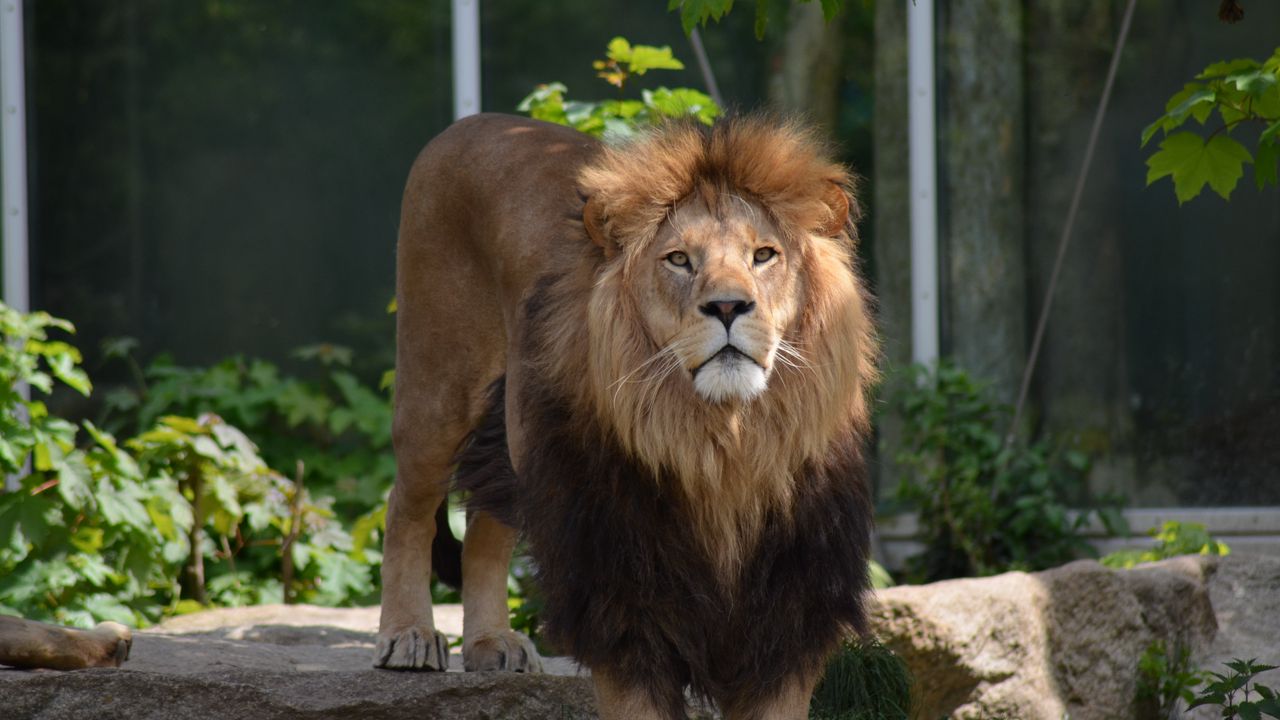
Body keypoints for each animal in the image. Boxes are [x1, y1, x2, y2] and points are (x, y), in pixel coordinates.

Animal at [375, 112, 877, 720]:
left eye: (763, 255)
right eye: (679, 259)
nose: (728, 306)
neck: (722, 444)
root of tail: (471, 122)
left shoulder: (789, 609)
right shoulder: (622, 599)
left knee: (486, 527)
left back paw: (491, 642)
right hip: (438, 389)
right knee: (407, 507)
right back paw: (407, 635)